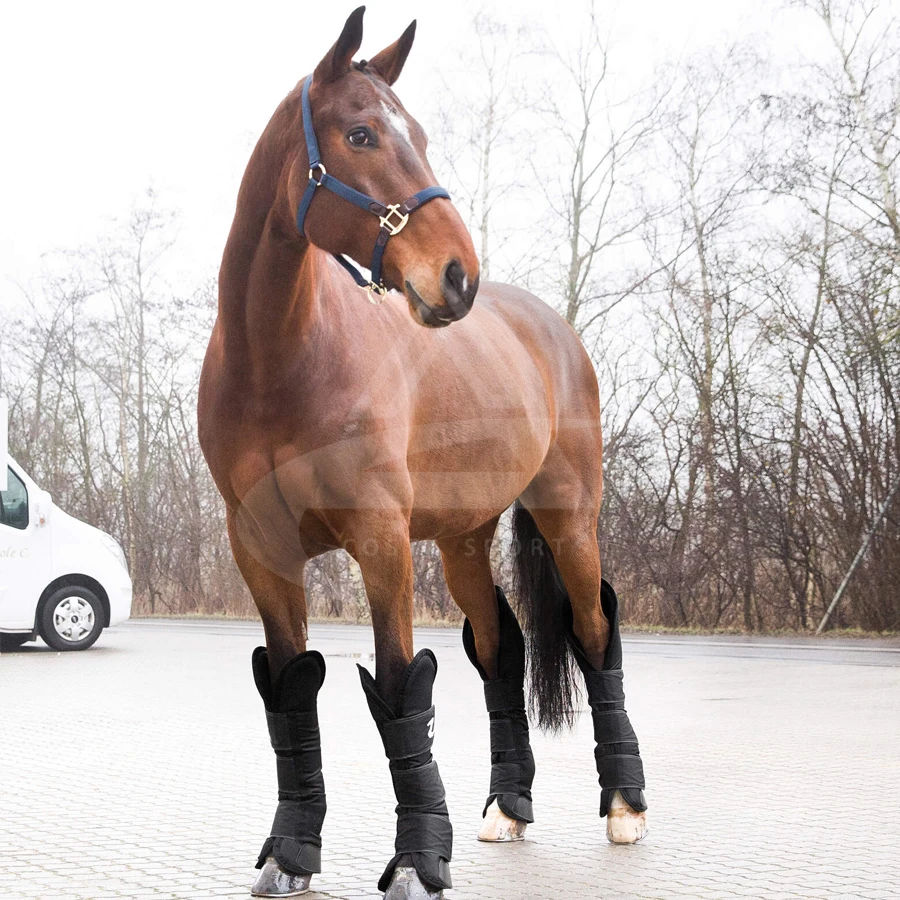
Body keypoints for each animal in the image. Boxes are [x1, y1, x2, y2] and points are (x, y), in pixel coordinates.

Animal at [198, 8, 648, 899]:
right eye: (362, 133)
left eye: (424, 136)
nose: (457, 276)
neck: (278, 363)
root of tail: (552, 329)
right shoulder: (261, 550)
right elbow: (291, 691)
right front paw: (291, 853)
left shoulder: (381, 540)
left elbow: (401, 686)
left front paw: (415, 860)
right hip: (464, 538)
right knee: (500, 650)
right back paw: (508, 806)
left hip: (569, 520)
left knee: (593, 632)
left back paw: (624, 805)